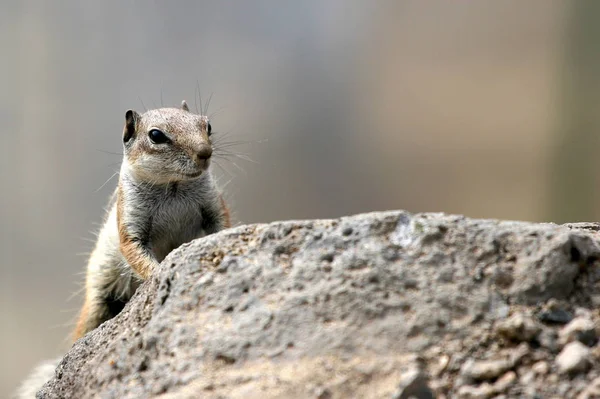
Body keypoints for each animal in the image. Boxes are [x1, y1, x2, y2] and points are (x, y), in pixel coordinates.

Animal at [14, 99, 230, 396]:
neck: (173, 186)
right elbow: (135, 253)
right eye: (156, 136)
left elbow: (222, 226)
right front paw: (161, 273)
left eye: (206, 125)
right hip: (97, 301)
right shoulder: (129, 223)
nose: (205, 153)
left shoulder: (213, 204)